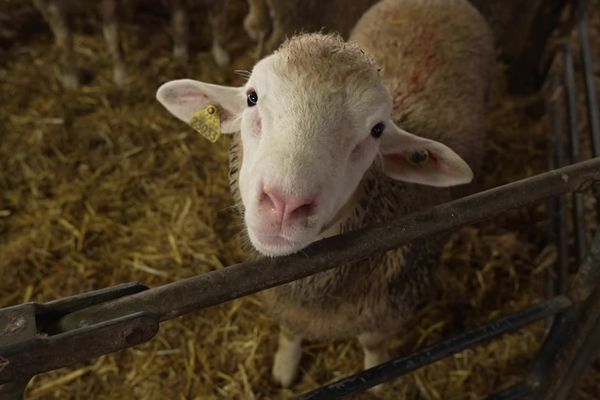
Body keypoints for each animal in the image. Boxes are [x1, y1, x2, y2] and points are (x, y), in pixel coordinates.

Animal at [155, 0, 492, 390]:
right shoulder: (288, 306)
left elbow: (371, 342)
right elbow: (289, 332)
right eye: (252, 98)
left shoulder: (390, 306)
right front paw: (285, 370)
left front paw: (379, 379)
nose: (284, 204)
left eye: (377, 130)